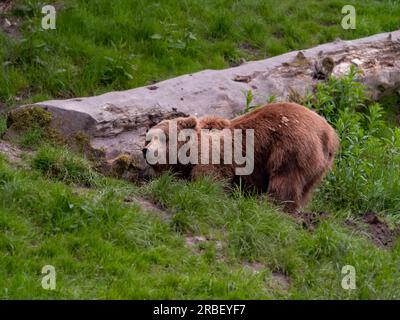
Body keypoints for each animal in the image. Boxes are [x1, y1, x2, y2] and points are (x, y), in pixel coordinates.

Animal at [142, 103, 340, 212]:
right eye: (148, 138)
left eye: (163, 138)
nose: (145, 150)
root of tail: (329, 134)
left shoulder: (215, 160)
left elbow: (210, 183)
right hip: (318, 167)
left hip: (290, 147)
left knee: (285, 178)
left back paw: (269, 204)